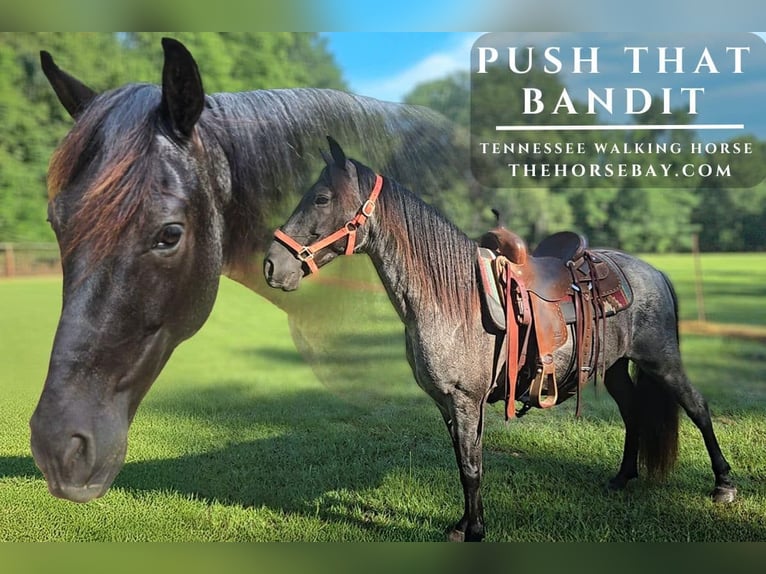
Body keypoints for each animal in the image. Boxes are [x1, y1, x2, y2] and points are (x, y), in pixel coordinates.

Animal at [263, 137, 737, 542]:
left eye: (322, 199)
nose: (271, 265)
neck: (452, 300)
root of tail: (652, 271)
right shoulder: (446, 402)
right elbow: (463, 461)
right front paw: (463, 524)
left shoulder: (465, 399)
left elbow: (472, 467)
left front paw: (475, 531)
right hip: (615, 367)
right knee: (634, 413)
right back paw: (622, 478)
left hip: (661, 359)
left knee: (698, 407)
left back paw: (724, 484)